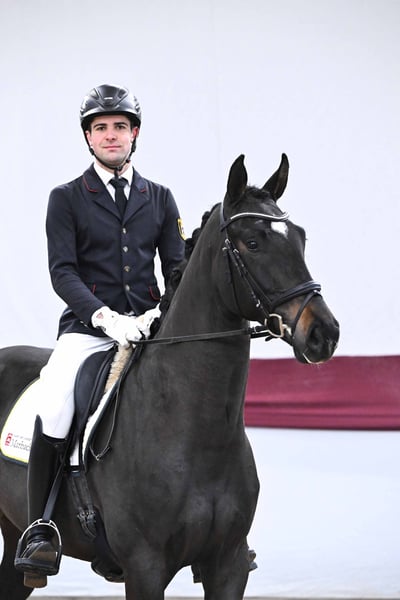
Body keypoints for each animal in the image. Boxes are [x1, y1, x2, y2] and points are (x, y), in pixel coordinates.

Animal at [0, 153, 339, 599]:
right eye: (253, 242)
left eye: (300, 238)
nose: (323, 334)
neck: (196, 434)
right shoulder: (145, 567)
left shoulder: (228, 564)